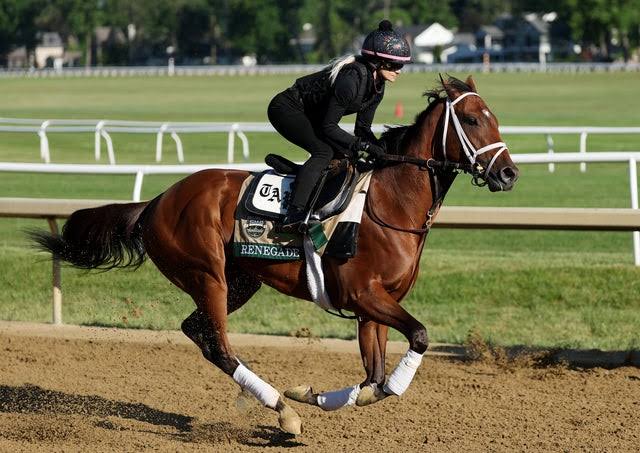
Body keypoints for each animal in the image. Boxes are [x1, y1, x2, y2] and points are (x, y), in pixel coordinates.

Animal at [31, 75, 518, 435]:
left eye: (495, 119)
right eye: (471, 119)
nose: (509, 174)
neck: (390, 203)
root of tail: (156, 201)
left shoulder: (374, 306)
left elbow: (375, 380)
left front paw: (314, 394)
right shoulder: (363, 295)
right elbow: (416, 339)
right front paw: (305, 399)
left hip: (240, 281)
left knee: (198, 332)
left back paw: (284, 404)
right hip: (207, 275)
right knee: (219, 346)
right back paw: (284, 412)